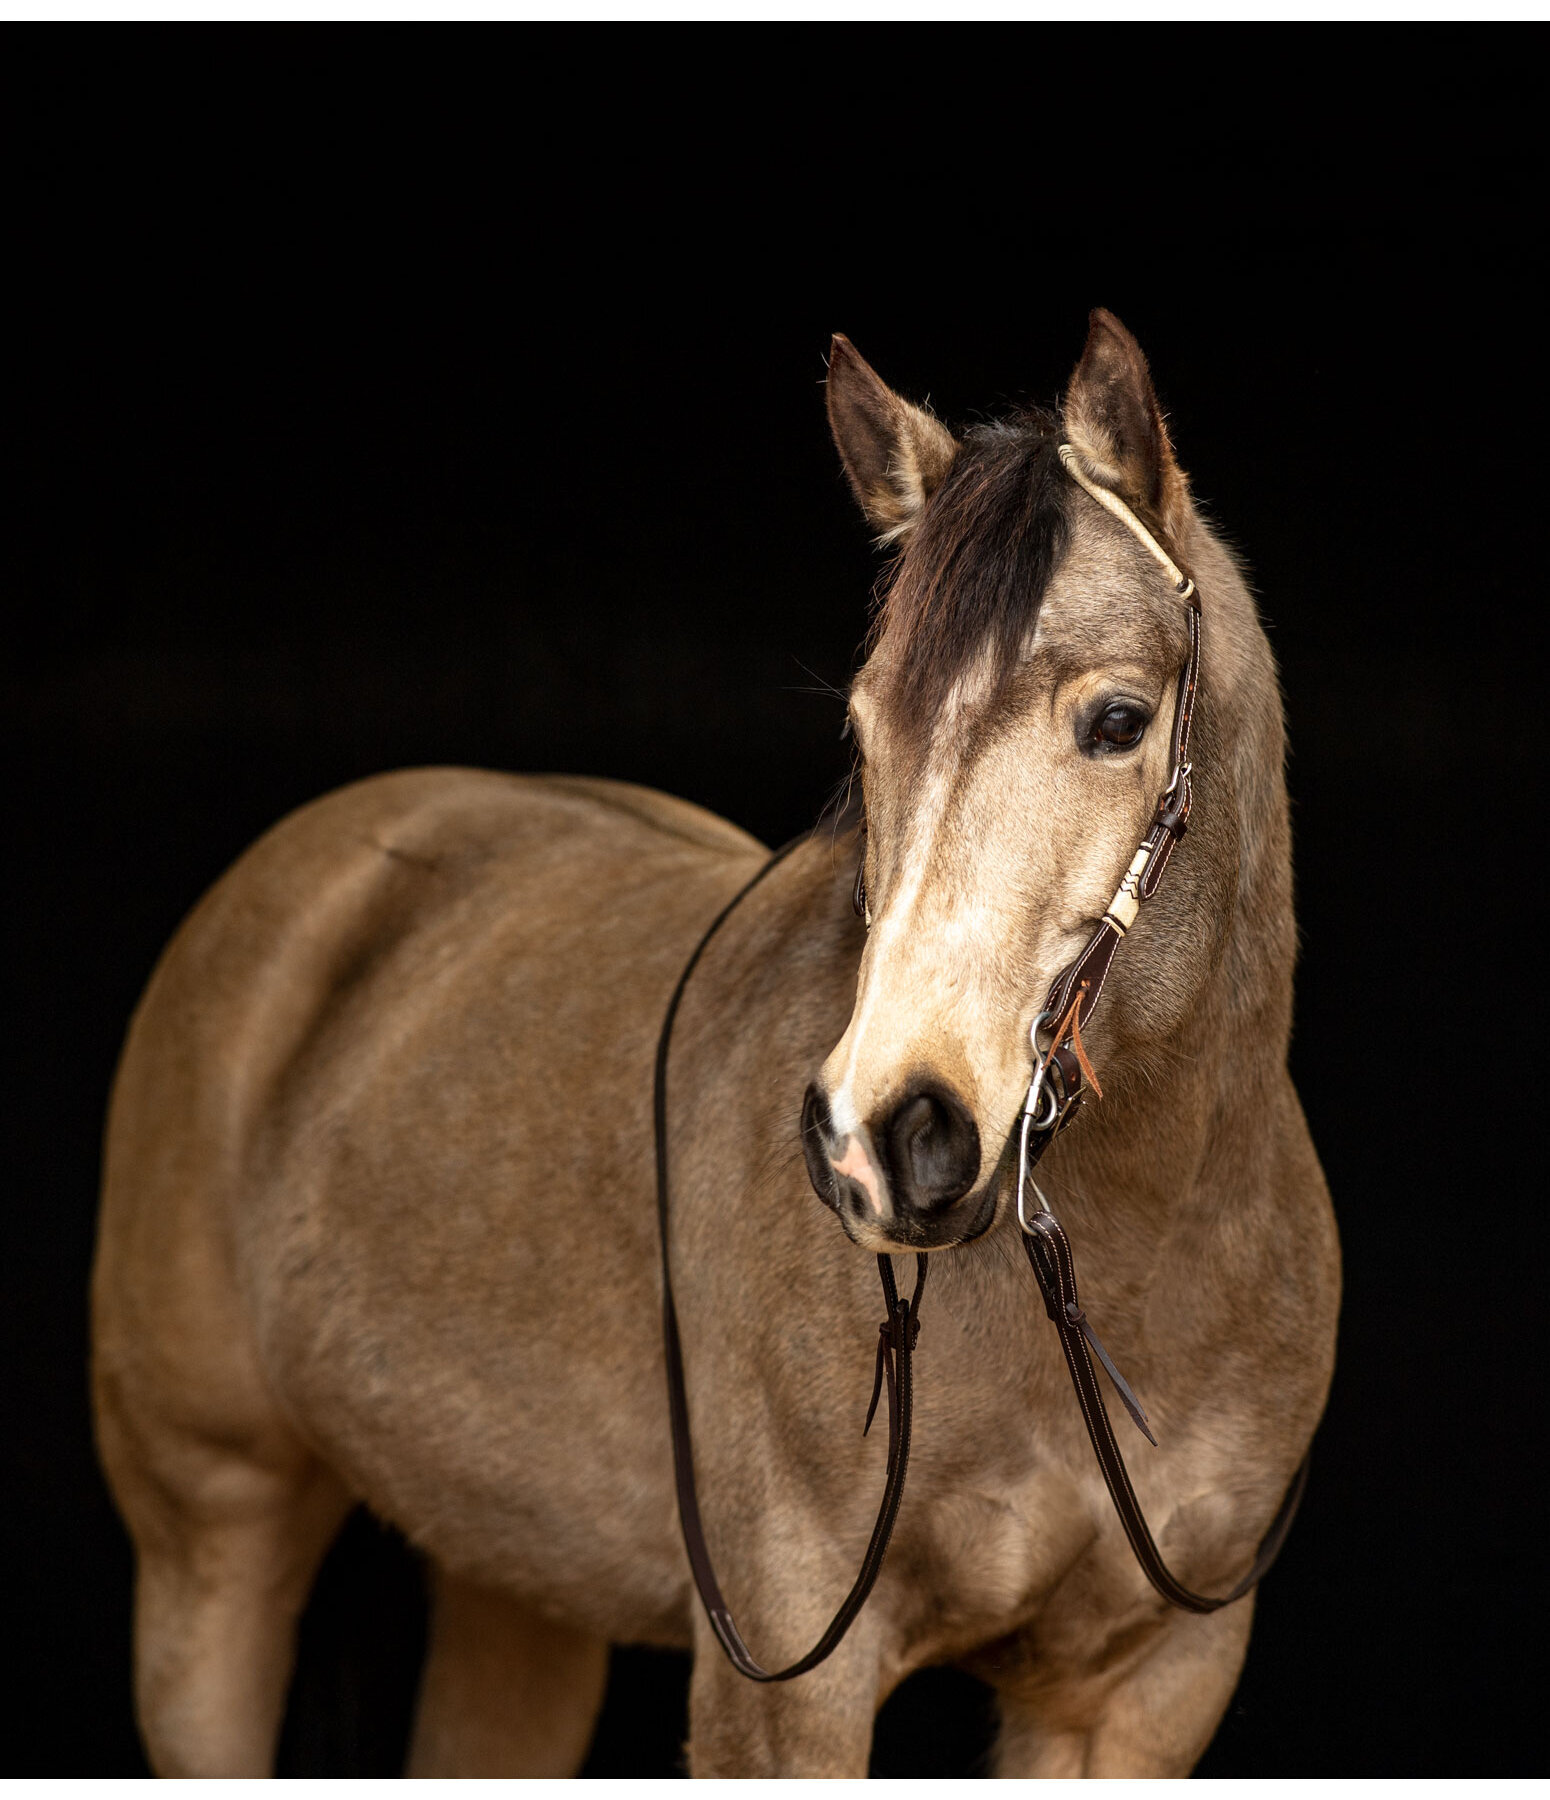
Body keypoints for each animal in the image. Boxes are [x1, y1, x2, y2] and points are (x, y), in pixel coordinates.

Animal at [90, 309, 1339, 1771]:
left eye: (1118, 721)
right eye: (865, 728)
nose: (885, 1137)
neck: (1152, 1239)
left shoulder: (1137, 1697)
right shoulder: (788, 1682)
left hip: (512, 1579)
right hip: (208, 1547)